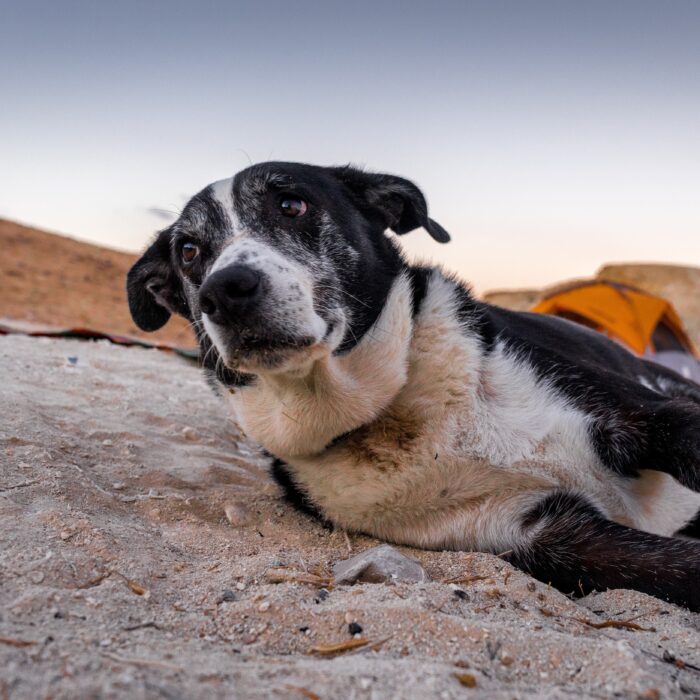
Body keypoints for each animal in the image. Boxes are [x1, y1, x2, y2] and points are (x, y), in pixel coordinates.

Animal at [126, 161, 700, 608]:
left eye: (291, 205)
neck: (395, 409)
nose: (224, 291)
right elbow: (675, 565)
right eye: (189, 251)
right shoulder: (547, 533)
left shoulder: (645, 416)